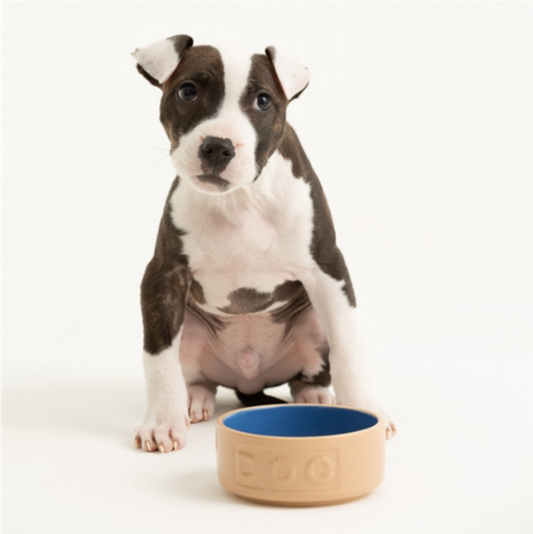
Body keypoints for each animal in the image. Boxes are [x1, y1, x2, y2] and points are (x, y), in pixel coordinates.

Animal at [131, 34, 392, 452]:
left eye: (263, 101)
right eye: (187, 91)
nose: (218, 147)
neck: (241, 198)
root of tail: (248, 377)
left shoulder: (328, 269)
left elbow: (349, 346)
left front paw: (368, 410)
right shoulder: (164, 274)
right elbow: (158, 356)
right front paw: (161, 423)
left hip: (312, 324)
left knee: (308, 375)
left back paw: (315, 397)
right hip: (191, 329)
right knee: (197, 377)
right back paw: (194, 400)